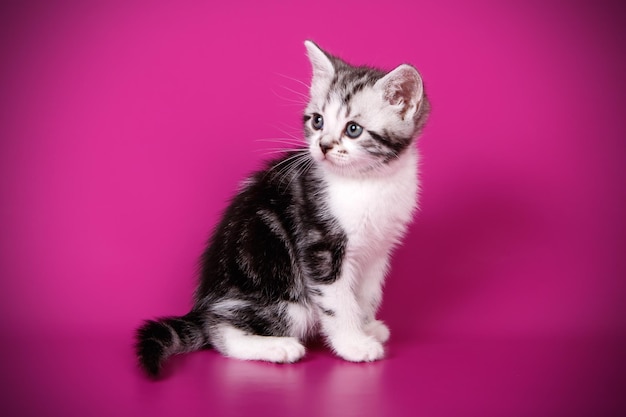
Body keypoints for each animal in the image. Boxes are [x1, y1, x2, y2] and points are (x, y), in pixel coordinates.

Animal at [135, 40, 428, 376]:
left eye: (353, 129)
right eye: (317, 121)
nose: (323, 145)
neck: (369, 180)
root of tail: (205, 302)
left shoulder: (377, 250)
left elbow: (366, 295)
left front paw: (365, 327)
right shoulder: (320, 247)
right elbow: (338, 302)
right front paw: (352, 344)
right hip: (284, 299)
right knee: (218, 329)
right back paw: (277, 347)